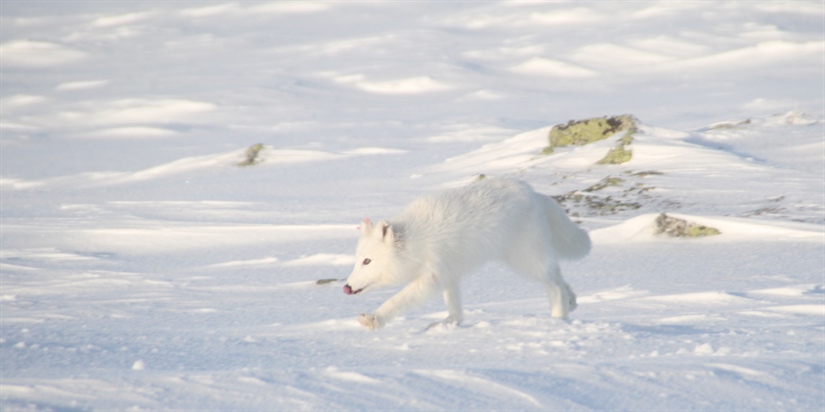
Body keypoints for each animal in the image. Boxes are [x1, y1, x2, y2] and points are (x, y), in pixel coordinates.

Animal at [342, 179, 592, 330]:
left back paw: (558, 318)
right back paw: (571, 302)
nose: (346, 287)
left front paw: (373, 319)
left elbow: (397, 300)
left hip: (524, 258)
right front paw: (448, 325)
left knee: (554, 283)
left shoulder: (430, 277)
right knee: (558, 277)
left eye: (367, 261)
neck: (415, 240)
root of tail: (532, 192)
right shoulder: (448, 274)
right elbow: (454, 306)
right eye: (357, 261)